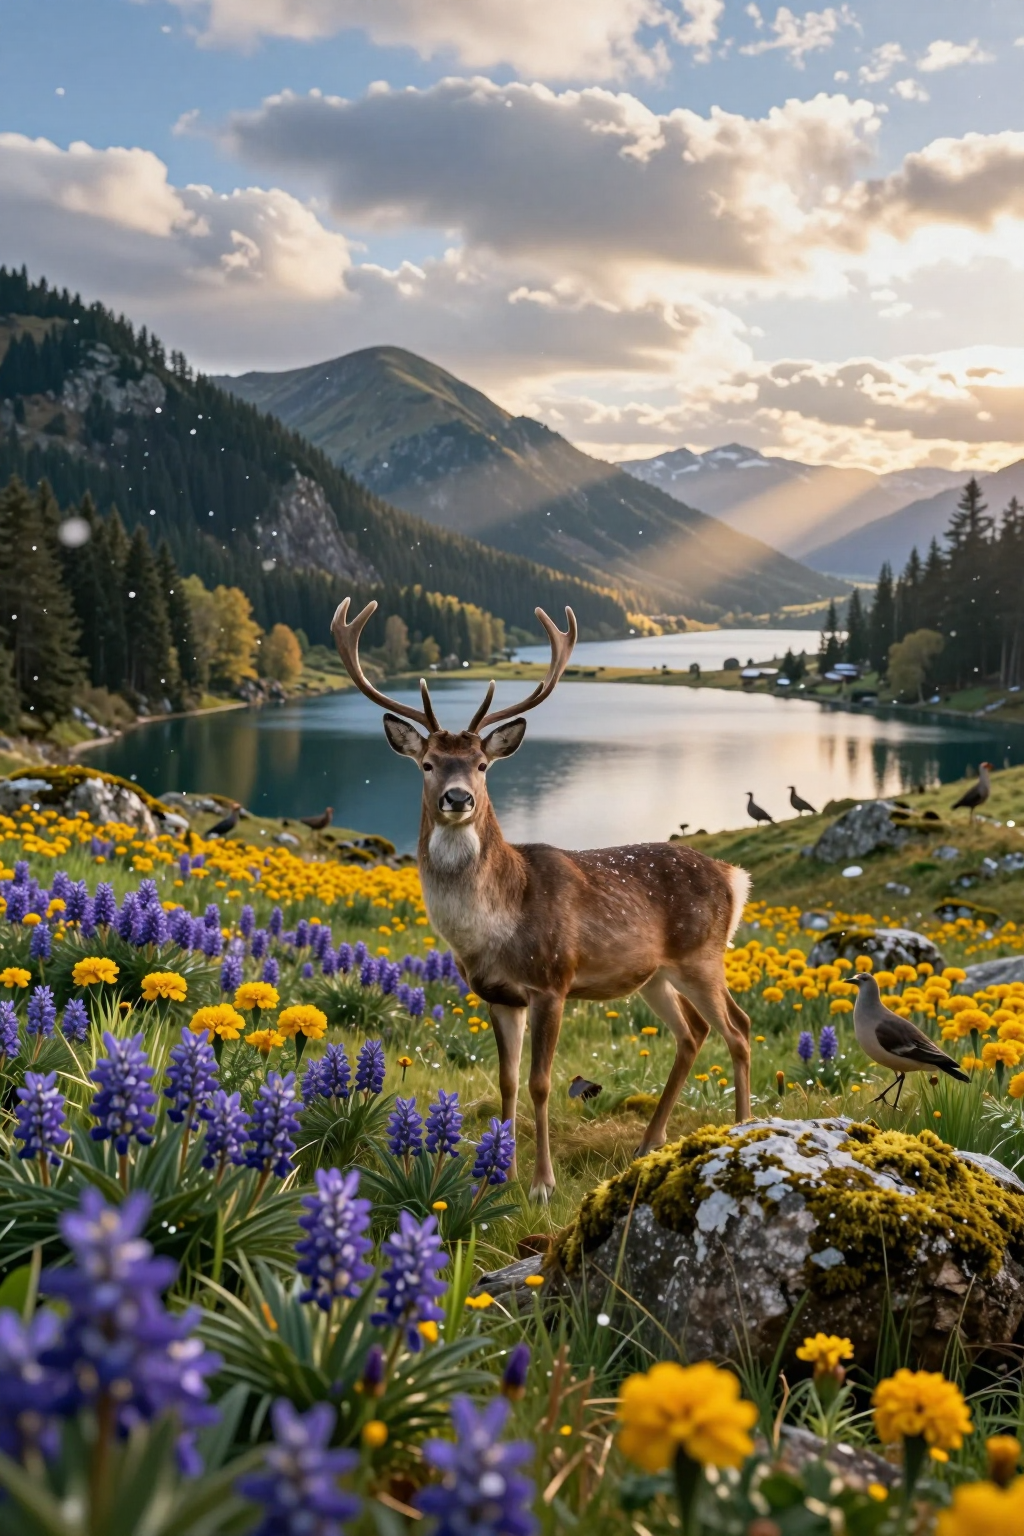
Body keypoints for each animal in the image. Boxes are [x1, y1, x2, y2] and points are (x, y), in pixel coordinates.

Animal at [330, 597, 753, 1201]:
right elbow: (506, 1081)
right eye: (428, 763)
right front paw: (498, 1177)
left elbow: (540, 1082)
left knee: (737, 1029)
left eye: (482, 765)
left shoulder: (553, 980)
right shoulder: (498, 995)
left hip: (702, 955)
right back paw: (649, 1144)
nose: (457, 798)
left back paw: (742, 1129)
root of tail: (734, 878)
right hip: (655, 975)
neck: (498, 924)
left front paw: (542, 1184)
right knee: (693, 1033)